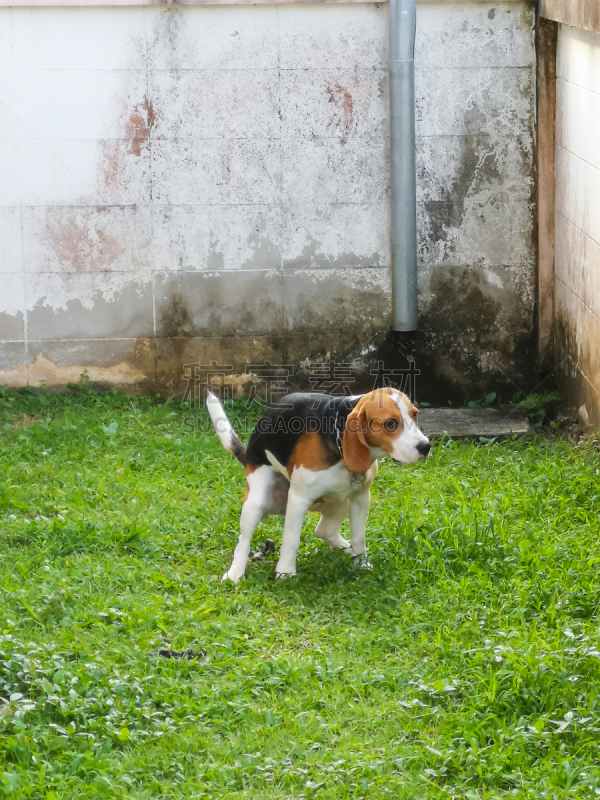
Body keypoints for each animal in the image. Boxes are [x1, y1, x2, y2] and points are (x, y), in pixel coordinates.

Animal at [209, 388, 428, 580]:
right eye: (391, 423)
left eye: (415, 415)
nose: (426, 446)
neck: (339, 443)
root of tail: (248, 454)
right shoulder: (298, 499)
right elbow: (291, 540)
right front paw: (285, 572)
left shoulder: (360, 498)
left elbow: (359, 537)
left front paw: (361, 563)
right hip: (257, 501)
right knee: (243, 542)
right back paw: (235, 573)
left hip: (341, 501)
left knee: (324, 530)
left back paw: (346, 549)